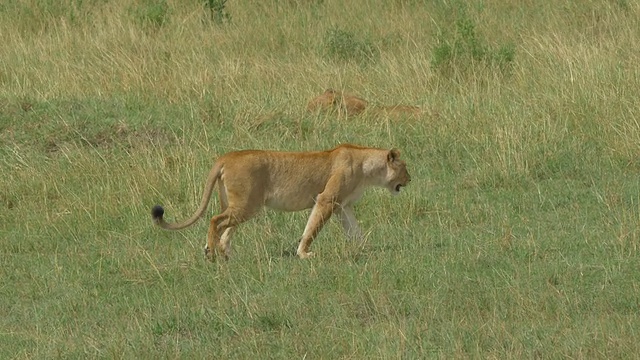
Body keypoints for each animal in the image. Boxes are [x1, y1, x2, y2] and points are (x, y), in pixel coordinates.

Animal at [150, 145, 410, 260]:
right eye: (405, 168)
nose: (410, 178)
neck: (368, 169)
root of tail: (226, 157)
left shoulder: (342, 206)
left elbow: (355, 230)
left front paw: (366, 250)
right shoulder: (326, 200)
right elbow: (312, 228)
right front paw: (304, 253)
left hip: (239, 205)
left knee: (225, 227)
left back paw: (224, 252)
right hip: (247, 205)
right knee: (215, 220)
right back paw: (211, 254)